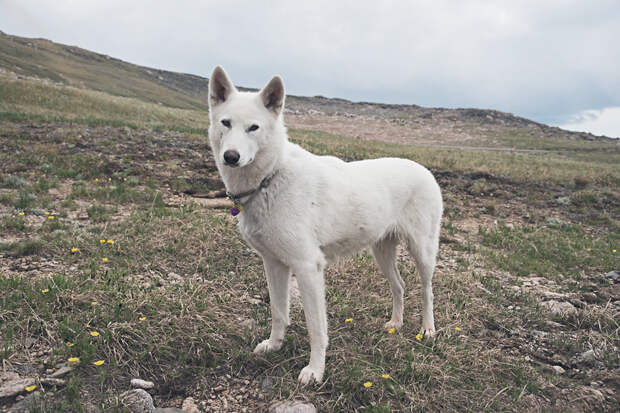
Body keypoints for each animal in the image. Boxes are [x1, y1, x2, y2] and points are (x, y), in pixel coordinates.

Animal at [211, 66, 444, 384]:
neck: (270, 177)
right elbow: (278, 312)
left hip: (422, 252)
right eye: (226, 123)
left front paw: (315, 370)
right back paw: (396, 323)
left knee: (426, 290)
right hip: (382, 252)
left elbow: (316, 329)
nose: (231, 157)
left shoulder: (308, 268)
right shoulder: (274, 264)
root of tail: (424, 170)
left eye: (254, 128)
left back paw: (428, 329)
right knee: (399, 286)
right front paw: (274, 345)